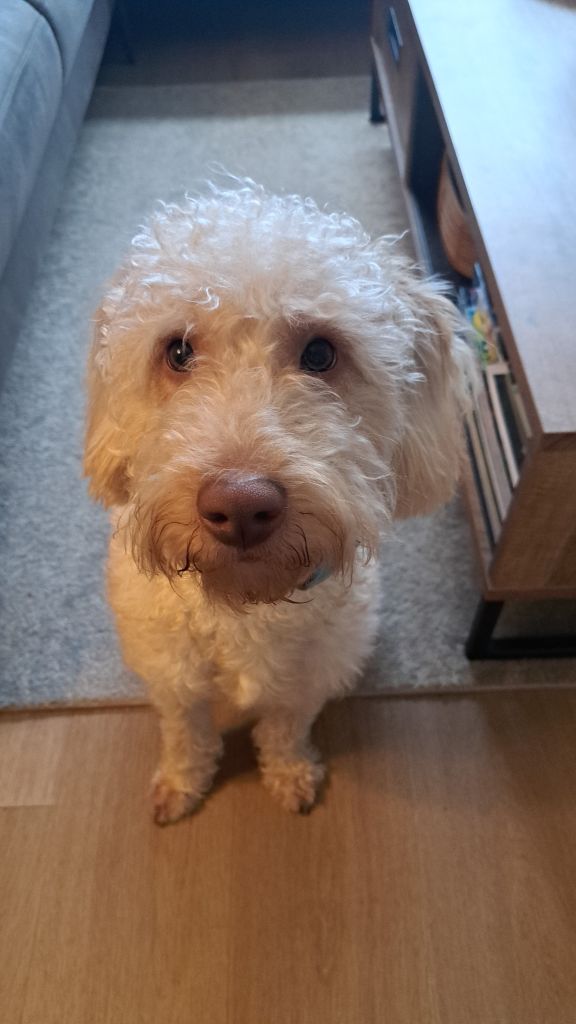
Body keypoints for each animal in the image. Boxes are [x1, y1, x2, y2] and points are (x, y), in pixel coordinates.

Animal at [84, 180, 472, 824]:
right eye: (178, 352)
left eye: (320, 354)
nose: (241, 506)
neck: (248, 605)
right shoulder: (174, 677)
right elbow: (185, 733)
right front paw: (183, 782)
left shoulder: (309, 678)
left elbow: (286, 727)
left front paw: (289, 772)